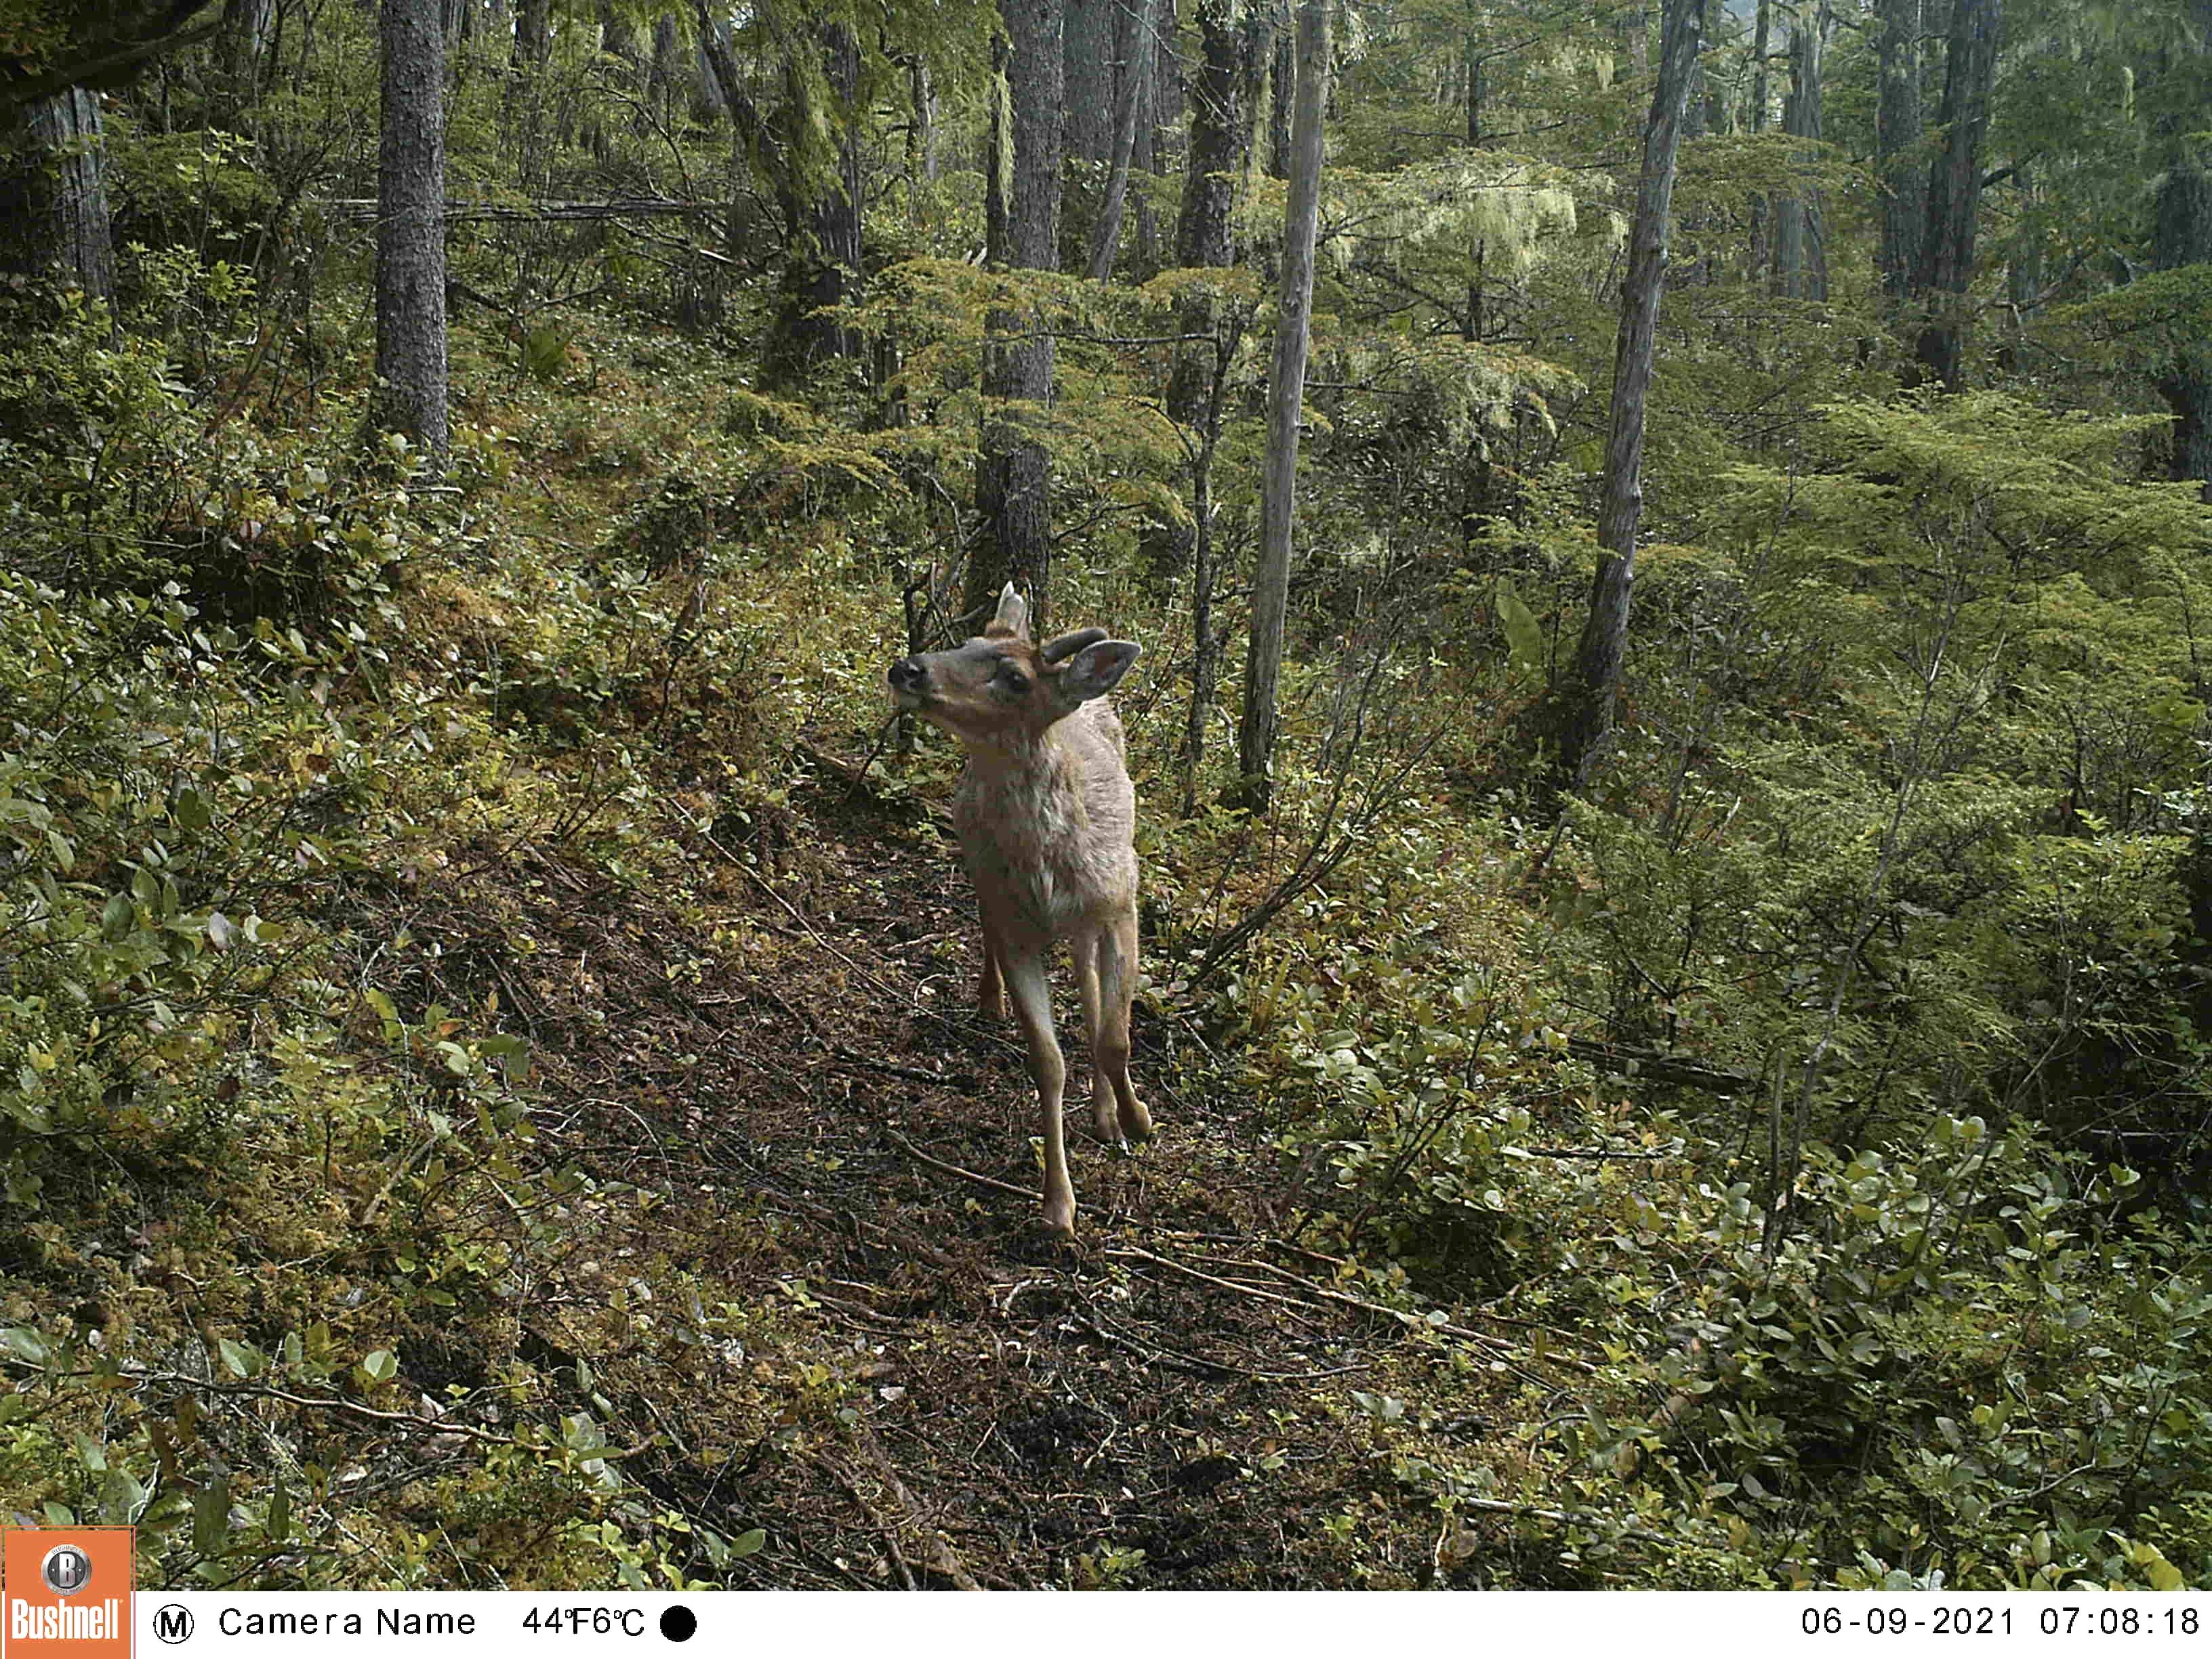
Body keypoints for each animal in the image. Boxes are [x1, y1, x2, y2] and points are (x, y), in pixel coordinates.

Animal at [886, 584, 1154, 1237]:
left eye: (1015, 677)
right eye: (967, 641)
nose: (908, 668)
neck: (1048, 875)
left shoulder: (1123, 902)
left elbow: (1114, 1038)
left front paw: (1136, 1119)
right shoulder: (1018, 928)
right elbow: (1047, 1062)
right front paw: (1058, 1206)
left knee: (1090, 988)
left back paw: (1108, 1115)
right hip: (977, 864)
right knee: (989, 925)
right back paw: (990, 1000)